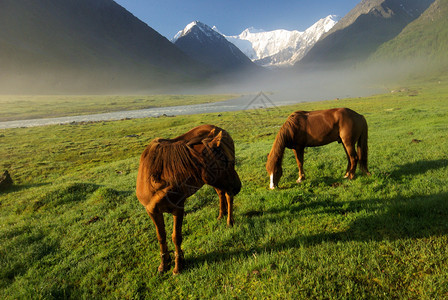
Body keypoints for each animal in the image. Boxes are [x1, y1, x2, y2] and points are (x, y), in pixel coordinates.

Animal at [136, 123, 242, 274]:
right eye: (224, 162)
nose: (238, 187)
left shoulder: (178, 208)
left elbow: (176, 237)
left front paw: (178, 265)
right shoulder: (152, 211)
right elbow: (161, 237)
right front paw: (164, 263)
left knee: (228, 196)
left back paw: (229, 221)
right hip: (216, 183)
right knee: (221, 194)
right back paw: (221, 215)